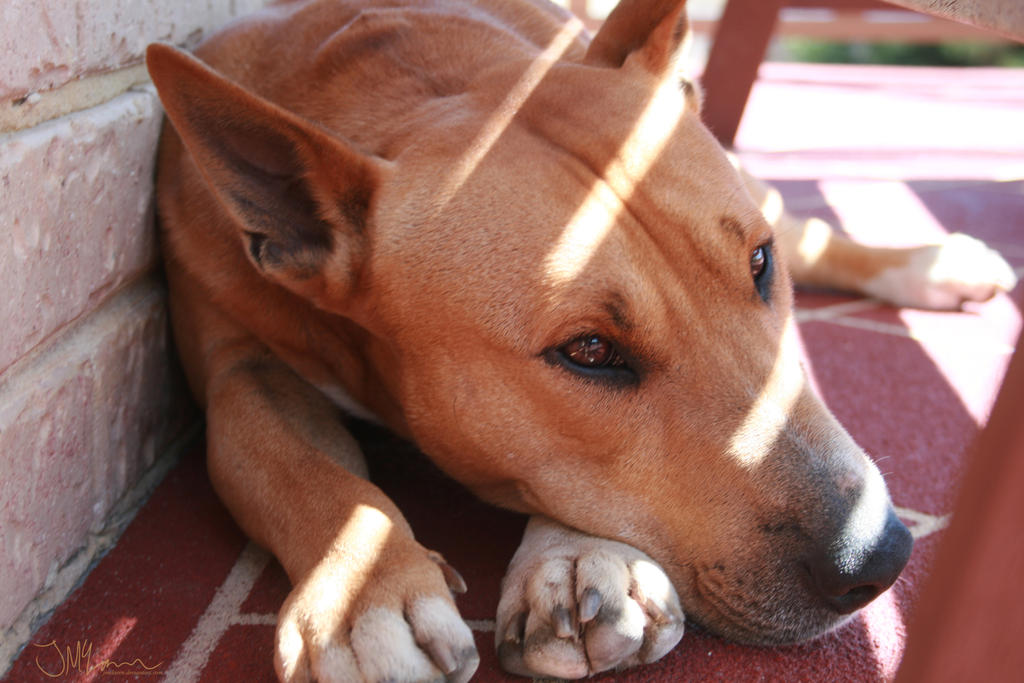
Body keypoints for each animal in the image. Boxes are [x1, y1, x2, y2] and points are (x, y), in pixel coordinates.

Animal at [144, 0, 1015, 679]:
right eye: (589, 352)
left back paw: (930, 265)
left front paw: (575, 560)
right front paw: (367, 595)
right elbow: (297, 468)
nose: (881, 557)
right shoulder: (238, 369)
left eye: (758, 264)